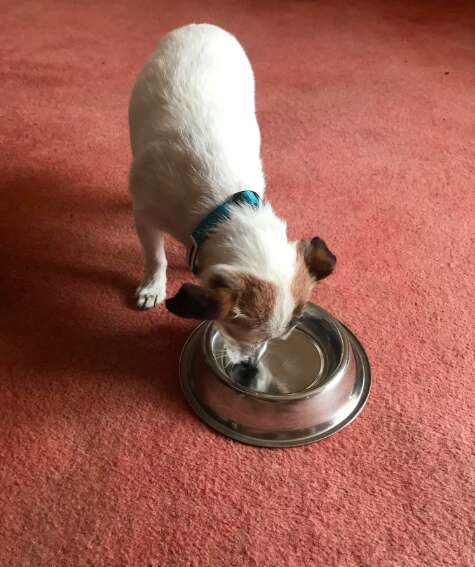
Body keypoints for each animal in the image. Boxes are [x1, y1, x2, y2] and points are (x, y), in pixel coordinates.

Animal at [128, 23, 336, 364]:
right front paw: (153, 286)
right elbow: (155, 256)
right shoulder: (146, 215)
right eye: (236, 331)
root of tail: (203, 25)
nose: (250, 366)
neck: (224, 206)